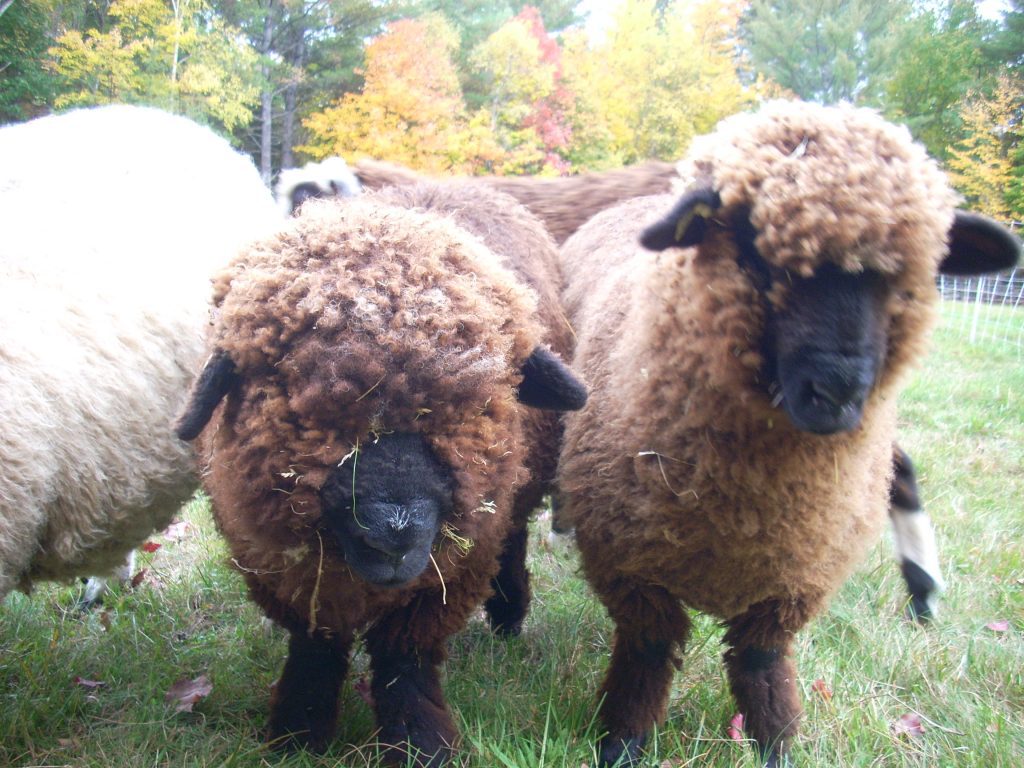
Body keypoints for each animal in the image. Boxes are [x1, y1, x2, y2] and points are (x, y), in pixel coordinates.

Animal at [176, 183, 585, 765]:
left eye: (472, 408)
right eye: (302, 411)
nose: (393, 534)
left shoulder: (451, 570)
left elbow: (404, 659)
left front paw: (420, 744)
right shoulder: (283, 569)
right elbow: (316, 647)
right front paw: (298, 736)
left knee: (514, 539)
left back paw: (509, 618)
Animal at [557, 102, 1019, 768]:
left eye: (906, 276)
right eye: (756, 251)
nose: (837, 392)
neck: (751, 501)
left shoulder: (796, 575)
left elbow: (761, 662)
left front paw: (774, 743)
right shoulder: (632, 568)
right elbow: (647, 653)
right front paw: (622, 741)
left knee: (902, 471)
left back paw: (923, 594)